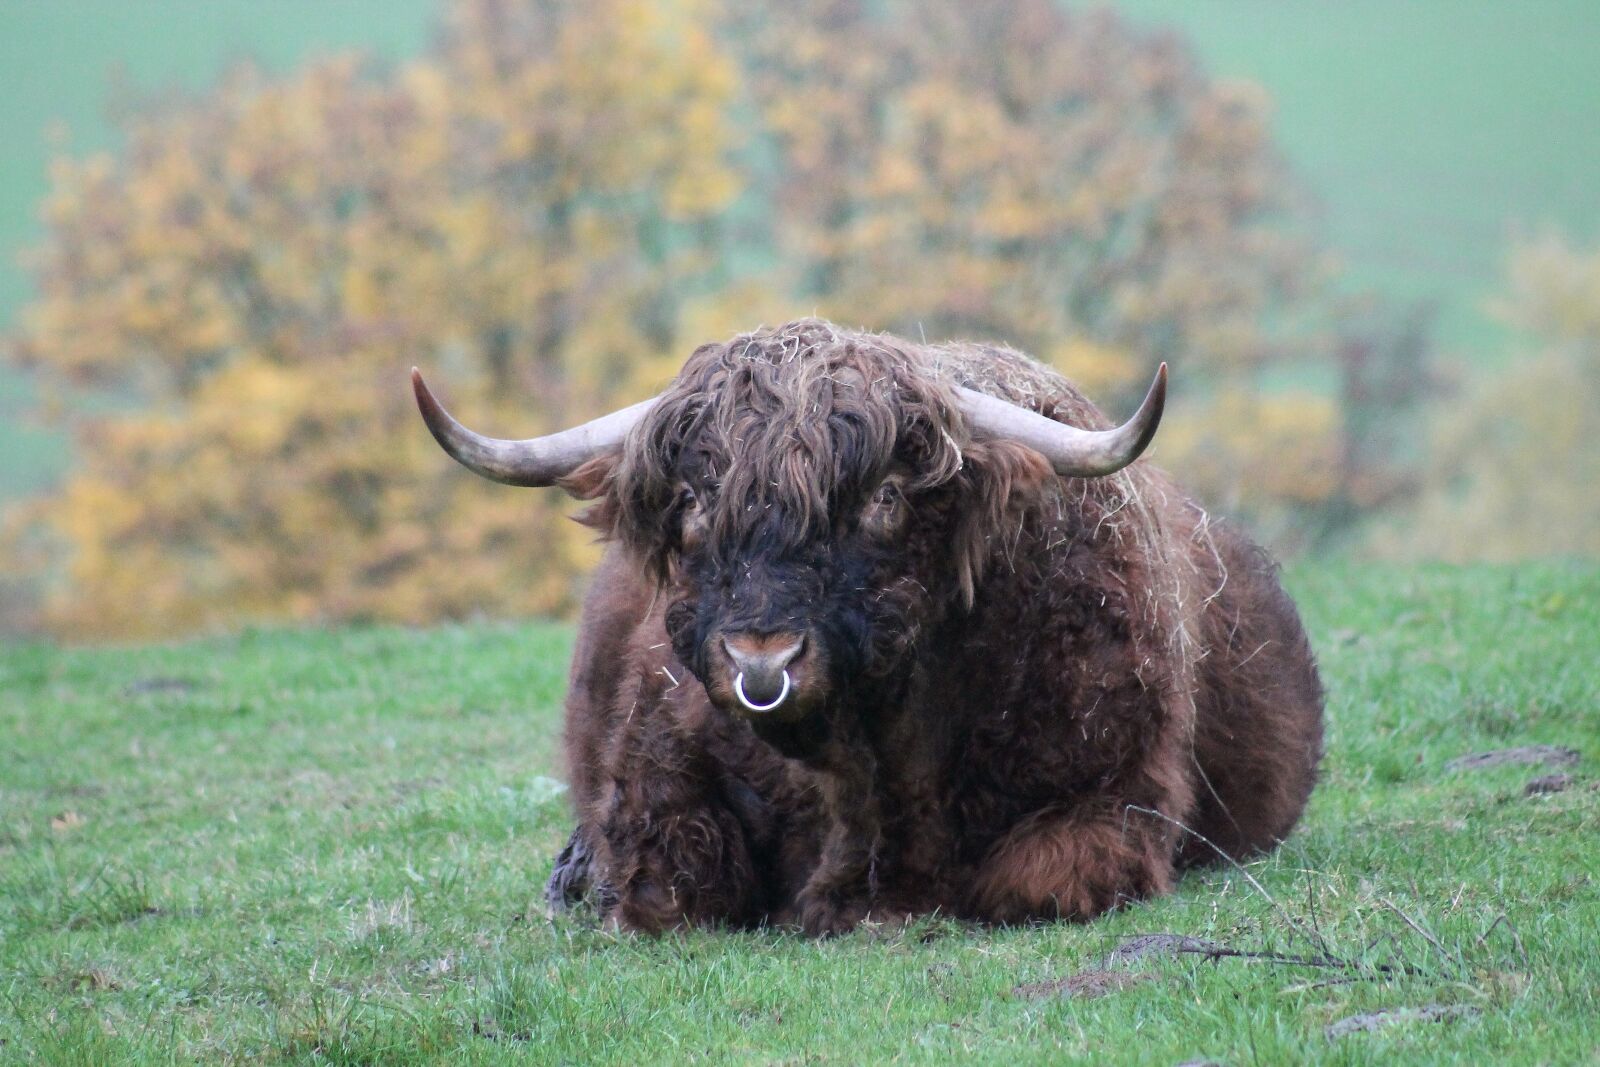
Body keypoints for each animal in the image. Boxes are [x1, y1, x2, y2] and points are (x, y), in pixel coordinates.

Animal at [413, 319, 1324, 936]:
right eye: (694, 500)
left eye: (884, 497)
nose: (763, 659)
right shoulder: (652, 792)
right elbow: (668, 887)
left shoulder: (1115, 803)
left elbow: (1034, 882)